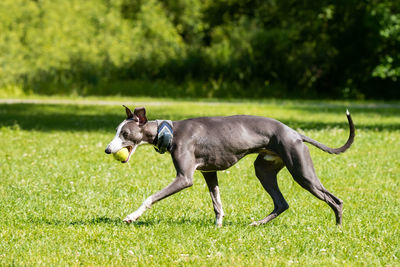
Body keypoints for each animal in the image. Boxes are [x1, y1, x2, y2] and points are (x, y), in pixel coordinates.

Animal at [104, 105, 354, 227]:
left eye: (125, 134)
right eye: (117, 131)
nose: (107, 150)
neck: (169, 131)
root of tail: (295, 134)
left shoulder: (184, 178)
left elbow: (150, 198)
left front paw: (132, 216)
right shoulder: (209, 173)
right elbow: (217, 203)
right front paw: (218, 226)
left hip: (302, 172)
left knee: (335, 200)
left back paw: (338, 228)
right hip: (264, 171)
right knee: (281, 203)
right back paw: (257, 223)